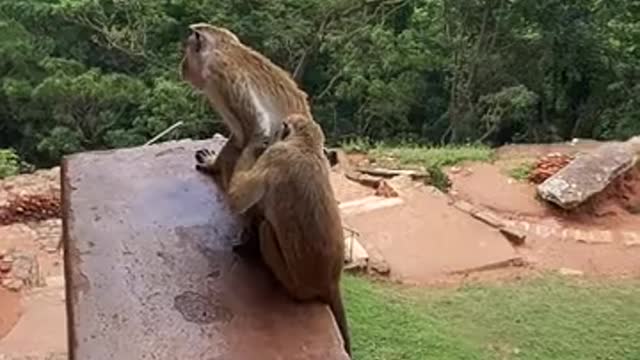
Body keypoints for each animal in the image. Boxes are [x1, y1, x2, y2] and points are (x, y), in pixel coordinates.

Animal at [221, 114, 350, 356]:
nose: (275, 132)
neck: (306, 145)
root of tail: (330, 281)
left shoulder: (275, 154)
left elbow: (237, 199)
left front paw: (255, 145)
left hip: (295, 284)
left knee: (266, 228)